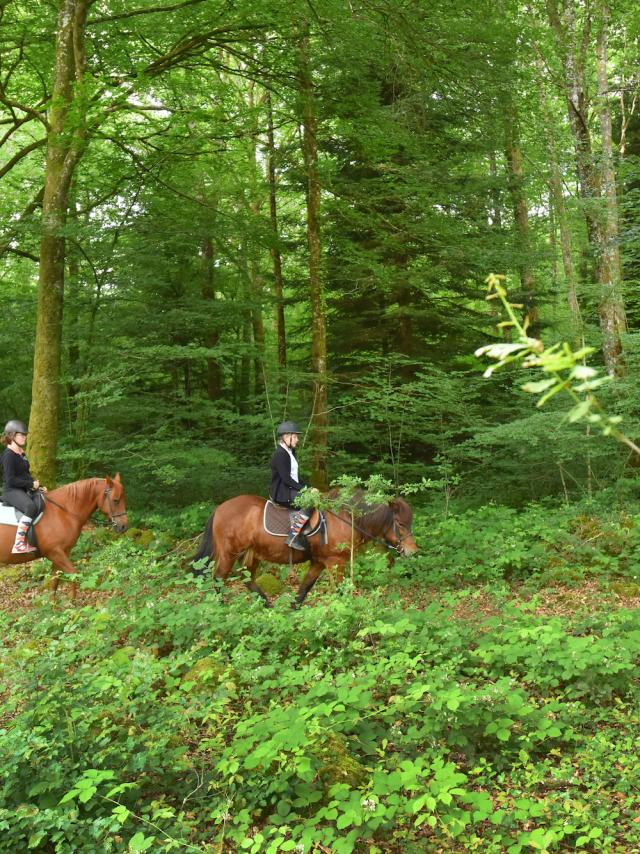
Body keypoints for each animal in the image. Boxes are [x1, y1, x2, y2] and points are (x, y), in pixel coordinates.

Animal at [0, 474, 129, 600]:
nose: (124, 526)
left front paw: (53, 605)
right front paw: (72, 602)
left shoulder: (63, 552)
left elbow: (54, 581)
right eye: (116, 500)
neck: (62, 512)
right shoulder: (55, 552)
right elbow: (73, 573)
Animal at [192, 492, 418, 604]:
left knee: (247, 579)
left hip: (251, 554)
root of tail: (220, 508)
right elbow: (342, 591)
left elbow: (304, 589)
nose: (413, 551)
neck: (345, 518)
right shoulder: (336, 562)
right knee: (218, 579)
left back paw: (267, 605)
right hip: (228, 553)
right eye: (400, 524)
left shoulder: (319, 562)